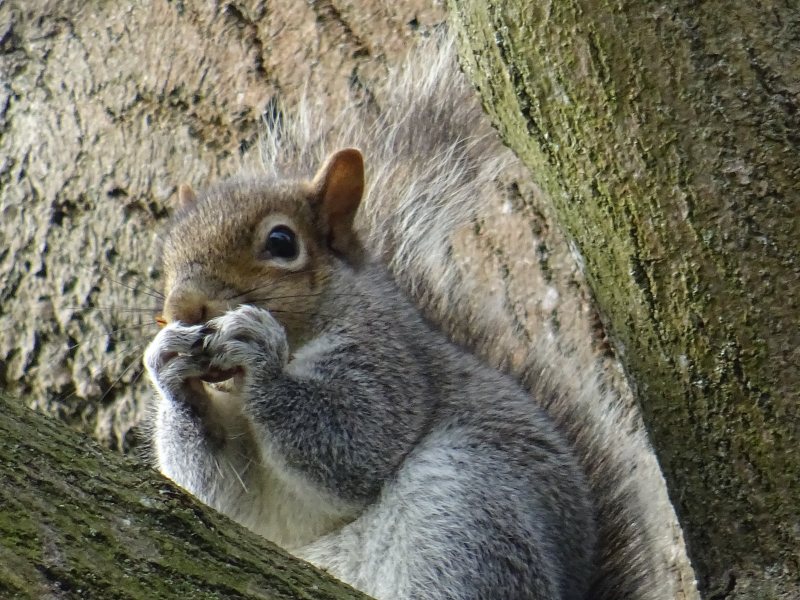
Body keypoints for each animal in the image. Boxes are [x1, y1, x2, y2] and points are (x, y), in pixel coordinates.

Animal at [142, 36, 664, 600]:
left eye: (281, 242)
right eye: (168, 252)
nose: (182, 308)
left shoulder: (391, 360)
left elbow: (356, 441)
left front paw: (261, 356)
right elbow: (224, 490)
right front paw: (169, 367)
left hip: (463, 509)